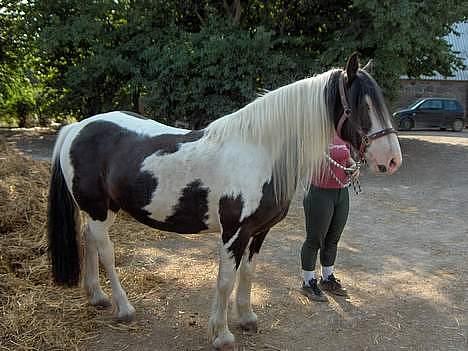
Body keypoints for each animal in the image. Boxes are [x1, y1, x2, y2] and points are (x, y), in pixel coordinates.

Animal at [47, 53, 402, 350]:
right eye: (360, 107)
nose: (392, 160)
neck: (260, 152)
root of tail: (77, 127)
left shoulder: (258, 232)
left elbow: (247, 274)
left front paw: (246, 318)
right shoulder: (234, 233)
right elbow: (225, 280)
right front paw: (221, 334)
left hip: (99, 211)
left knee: (89, 242)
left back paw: (97, 297)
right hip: (98, 210)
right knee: (106, 252)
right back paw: (123, 308)